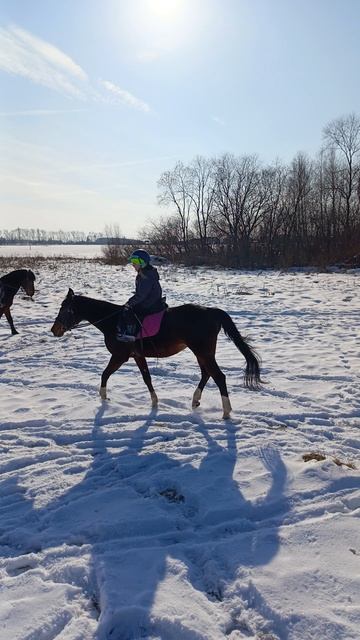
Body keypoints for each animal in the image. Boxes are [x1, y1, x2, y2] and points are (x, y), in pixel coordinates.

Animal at [50, 290, 260, 420]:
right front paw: (154, 402)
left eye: (65, 308)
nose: (54, 330)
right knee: (206, 374)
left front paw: (103, 399)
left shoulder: (119, 356)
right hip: (202, 353)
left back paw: (226, 412)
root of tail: (212, 311)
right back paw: (195, 400)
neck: (113, 321)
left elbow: (105, 374)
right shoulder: (137, 356)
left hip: (203, 351)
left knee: (219, 377)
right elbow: (147, 378)